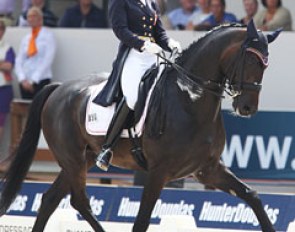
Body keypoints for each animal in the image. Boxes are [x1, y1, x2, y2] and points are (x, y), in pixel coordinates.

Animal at [0, 20, 280, 231]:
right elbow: (141, 221)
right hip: (73, 159)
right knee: (80, 201)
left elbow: (252, 196)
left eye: (267, 64)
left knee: (51, 199)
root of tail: (59, 88)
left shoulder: (207, 169)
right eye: (252, 61)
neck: (190, 99)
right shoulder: (158, 172)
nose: (247, 108)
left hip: (82, 159)